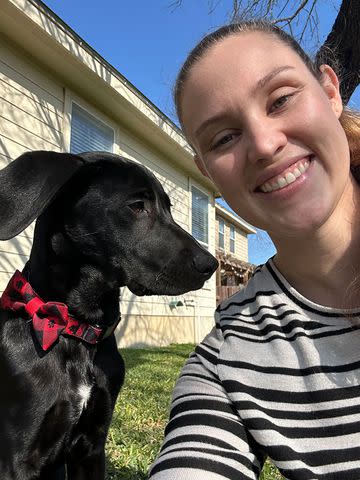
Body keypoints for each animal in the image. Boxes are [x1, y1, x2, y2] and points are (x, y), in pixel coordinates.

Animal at [0, 151, 218, 480]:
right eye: (137, 206)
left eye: (168, 208)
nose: (211, 264)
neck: (76, 329)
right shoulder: (17, 457)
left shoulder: (91, 447)